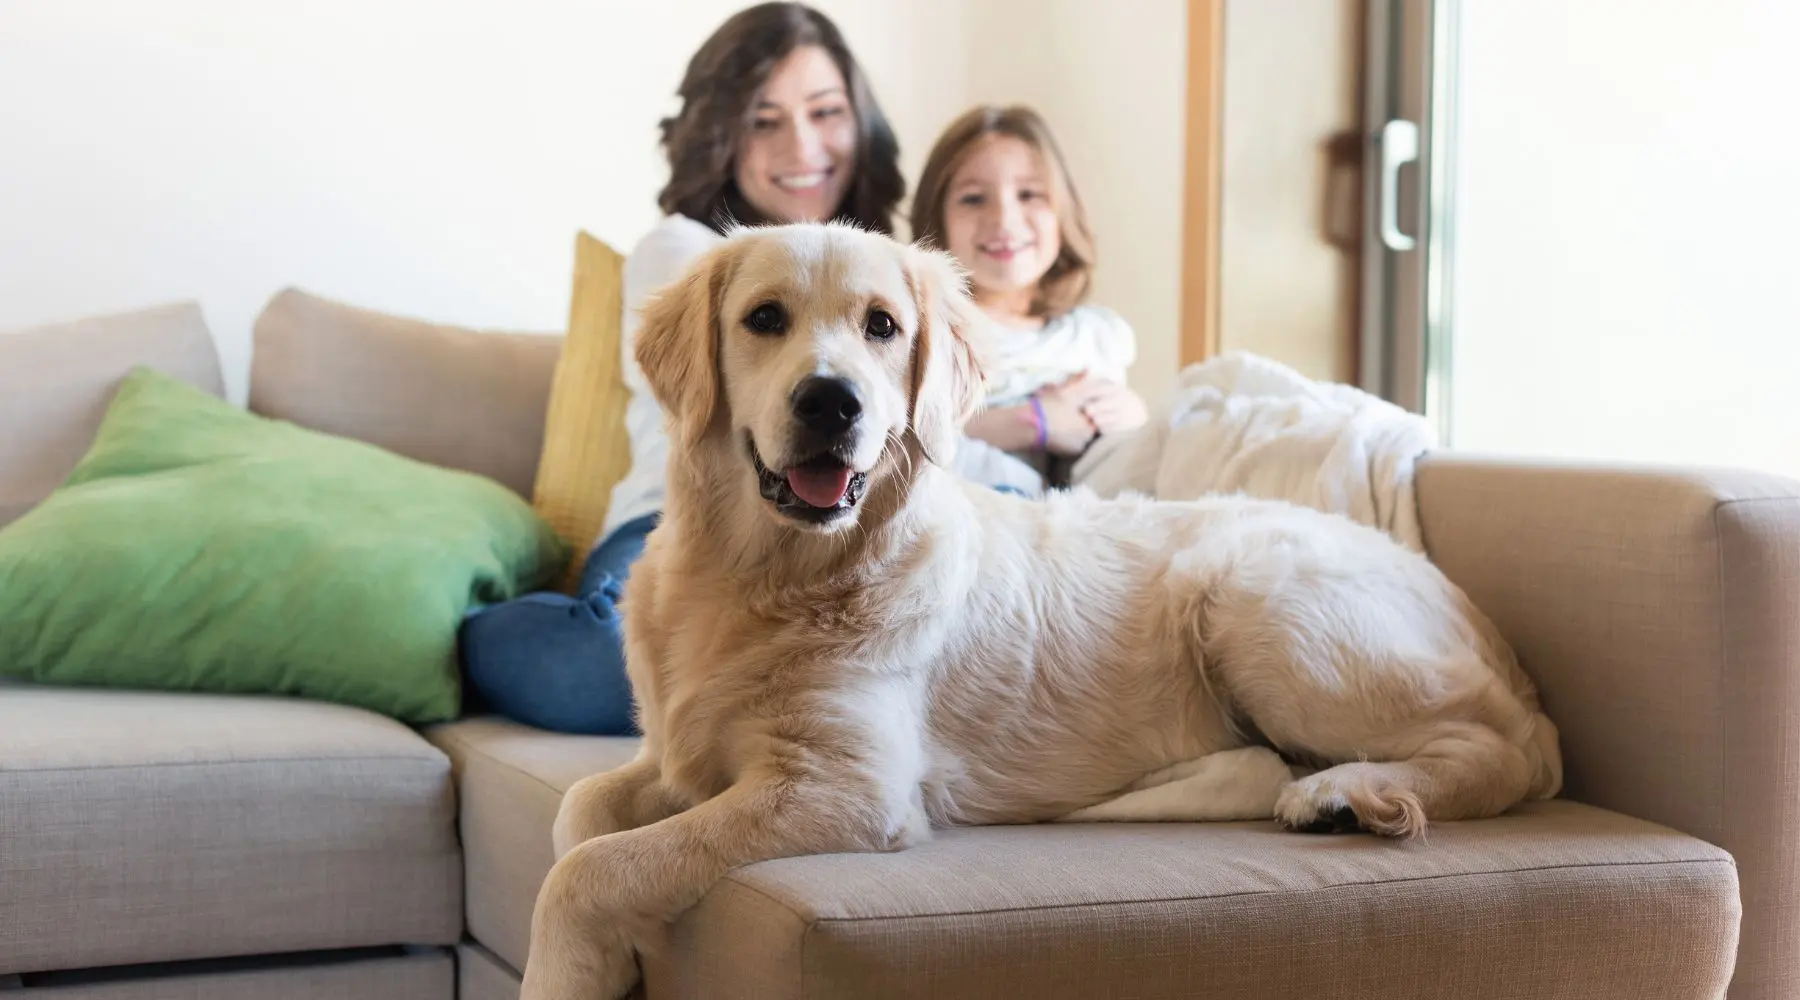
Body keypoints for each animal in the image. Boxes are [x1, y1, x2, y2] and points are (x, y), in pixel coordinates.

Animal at [522, 223, 1562, 992]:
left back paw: (1346, 793)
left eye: (882, 326)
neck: (760, 576)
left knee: (1494, 752)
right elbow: (578, 811)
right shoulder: (677, 751)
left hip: (1257, 601)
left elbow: (588, 870)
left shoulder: (847, 788)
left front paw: (575, 964)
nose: (831, 402)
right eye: (764, 318)